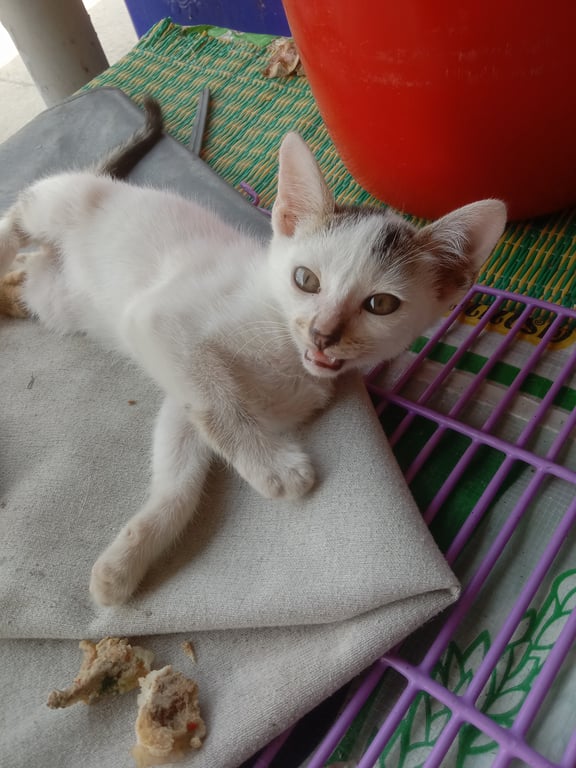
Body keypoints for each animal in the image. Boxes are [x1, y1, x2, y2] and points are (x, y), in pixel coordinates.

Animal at [0, 100, 507, 605]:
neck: (283, 348)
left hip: (52, 299)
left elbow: (182, 470)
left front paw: (125, 561)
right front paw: (274, 469)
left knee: (29, 273)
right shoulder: (161, 323)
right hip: (59, 204)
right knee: (18, 212)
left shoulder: (189, 398)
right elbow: (217, 404)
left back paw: (13, 285)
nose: (323, 334)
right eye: (305, 279)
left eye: (380, 305)